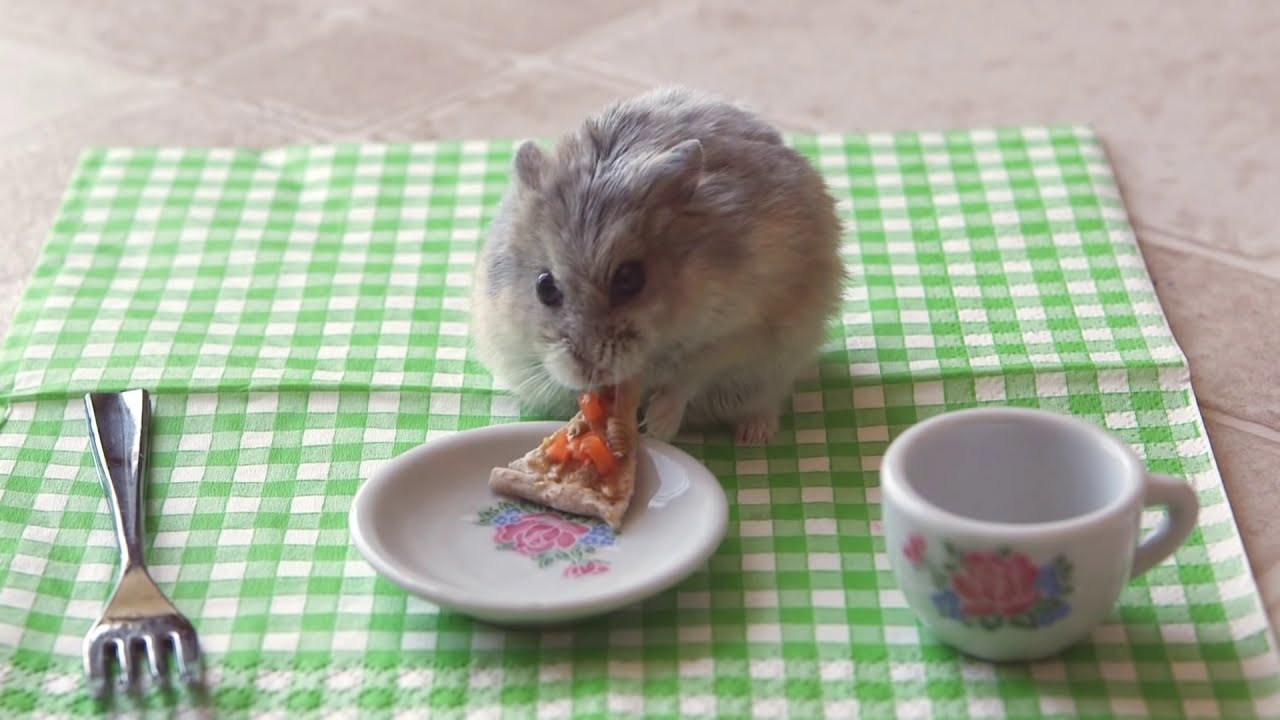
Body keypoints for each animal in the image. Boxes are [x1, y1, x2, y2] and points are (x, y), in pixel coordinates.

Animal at [469, 86, 846, 445]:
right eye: (544, 287)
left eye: (630, 278)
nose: (587, 371)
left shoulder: (747, 329)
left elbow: (692, 371)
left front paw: (659, 427)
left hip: (774, 367)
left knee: (764, 403)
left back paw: (752, 437)